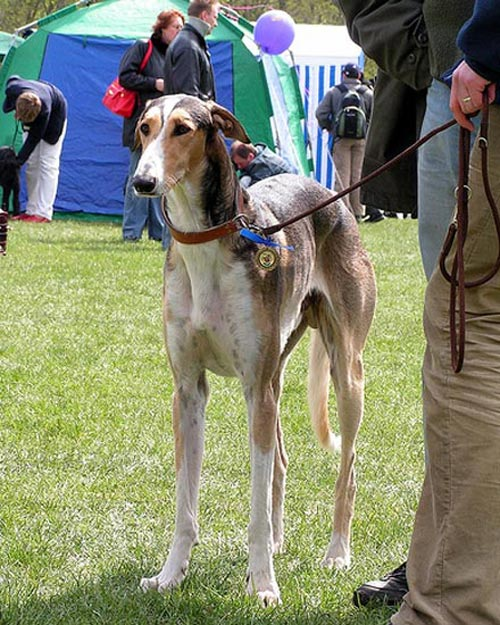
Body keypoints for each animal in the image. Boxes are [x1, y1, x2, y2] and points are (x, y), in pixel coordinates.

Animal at [132, 94, 376, 604]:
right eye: (145, 128)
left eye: (183, 129)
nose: (143, 181)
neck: (204, 244)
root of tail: (331, 197)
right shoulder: (188, 391)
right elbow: (186, 503)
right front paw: (170, 575)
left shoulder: (254, 389)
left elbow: (256, 509)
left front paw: (263, 584)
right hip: (276, 375)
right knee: (281, 461)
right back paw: (283, 542)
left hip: (344, 372)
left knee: (348, 468)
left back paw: (337, 553)